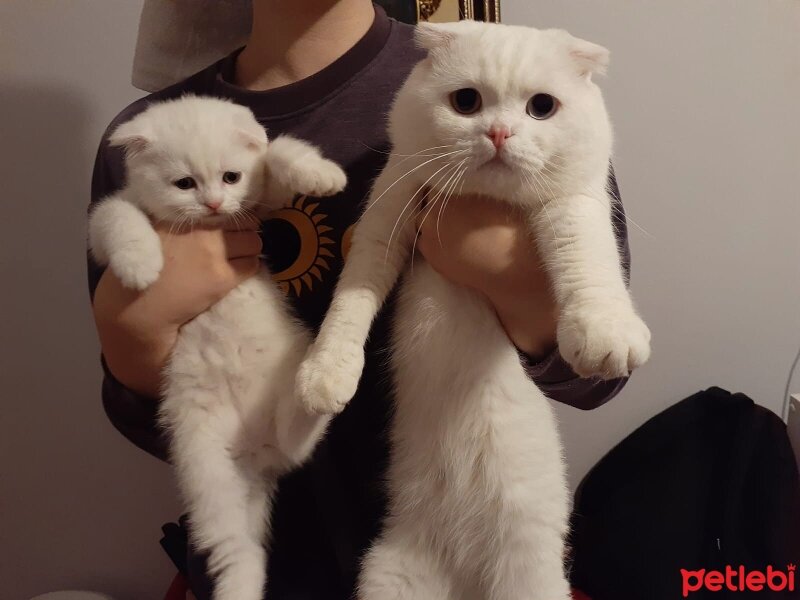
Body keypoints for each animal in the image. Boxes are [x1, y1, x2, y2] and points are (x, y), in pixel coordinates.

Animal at [89, 95, 346, 600]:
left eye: (231, 177)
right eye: (184, 183)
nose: (212, 203)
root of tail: (256, 454)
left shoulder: (258, 204)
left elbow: (277, 152)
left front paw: (320, 173)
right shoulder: (109, 216)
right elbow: (118, 217)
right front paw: (141, 264)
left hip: (278, 400)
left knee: (296, 442)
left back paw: (321, 393)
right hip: (205, 469)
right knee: (236, 548)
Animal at [296, 21, 652, 596]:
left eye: (542, 107)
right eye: (466, 102)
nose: (500, 133)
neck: (489, 203)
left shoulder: (575, 202)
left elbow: (587, 257)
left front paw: (605, 331)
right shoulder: (386, 217)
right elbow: (352, 300)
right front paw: (327, 373)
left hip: (530, 579)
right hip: (387, 578)